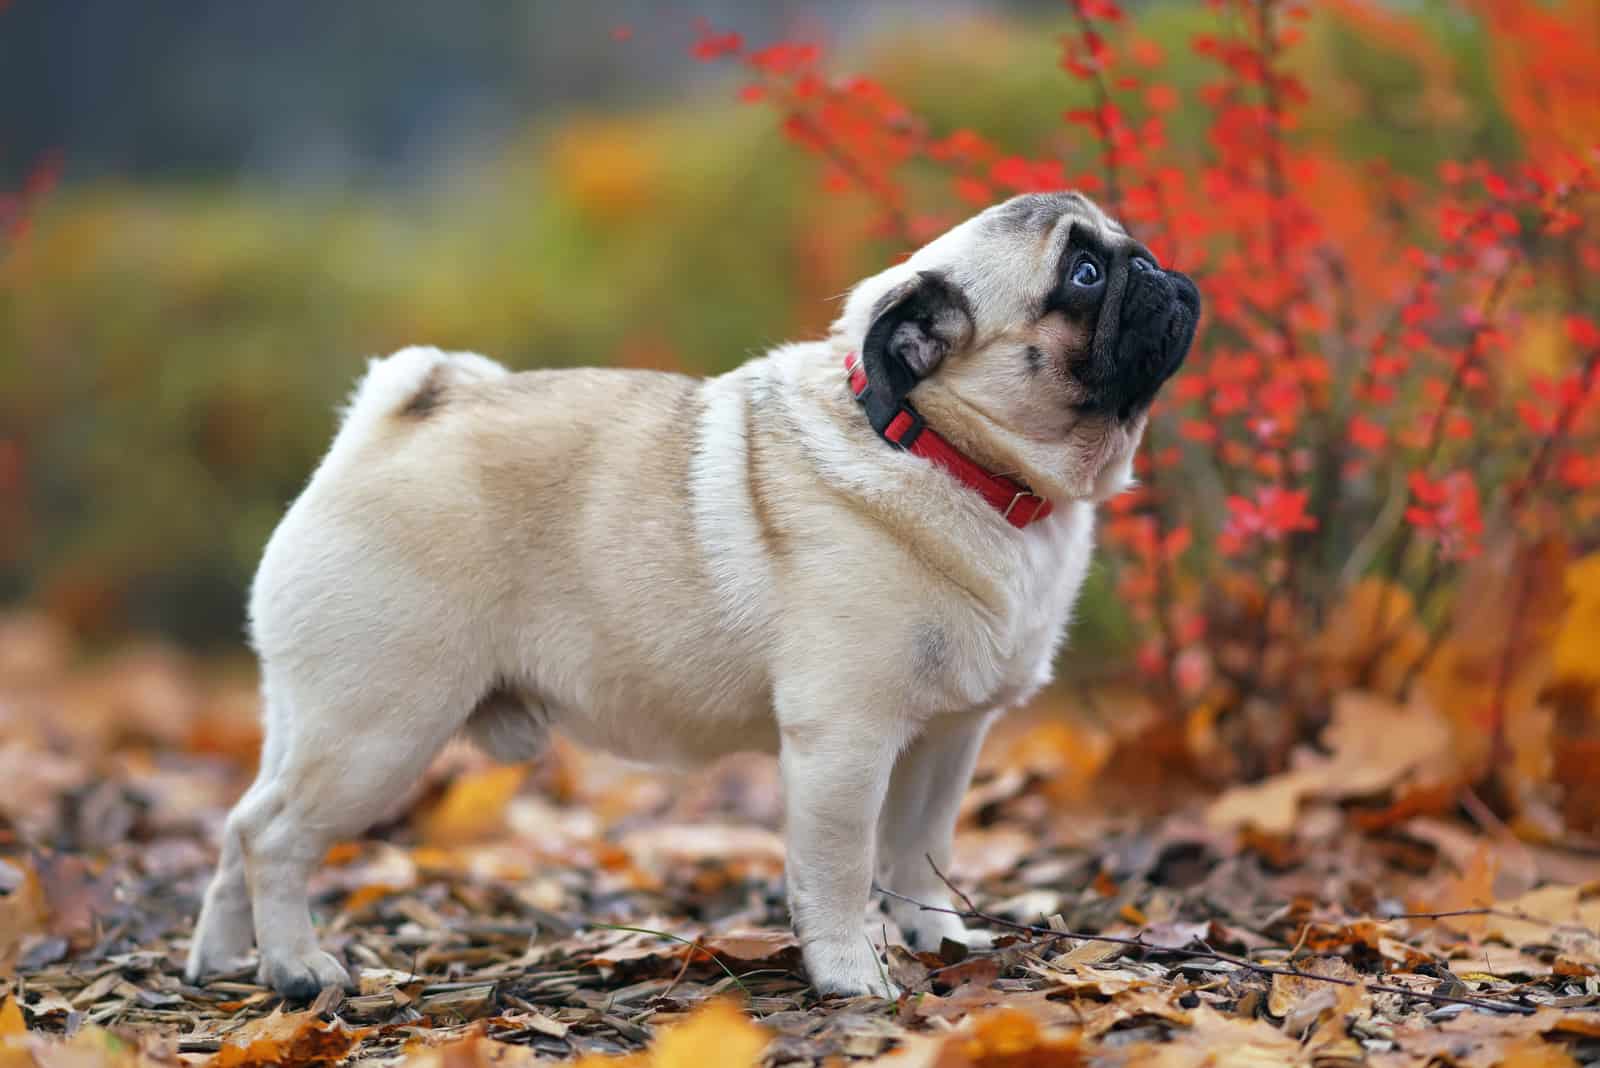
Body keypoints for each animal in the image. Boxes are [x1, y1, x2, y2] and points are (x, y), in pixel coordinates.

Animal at [187, 191, 1196, 1004]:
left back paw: (226, 960)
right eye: (1084, 272)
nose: (1159, 267)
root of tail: (382, 429)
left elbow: (918, 854)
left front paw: (937, 941)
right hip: (381, 726)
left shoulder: (947, 739)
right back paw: (298, 969)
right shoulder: (846, 740)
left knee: (240, 824)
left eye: (1124, 247)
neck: (946, 452)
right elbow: (841, 869)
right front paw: (851, 976)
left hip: (312, 717)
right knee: (274, 835)